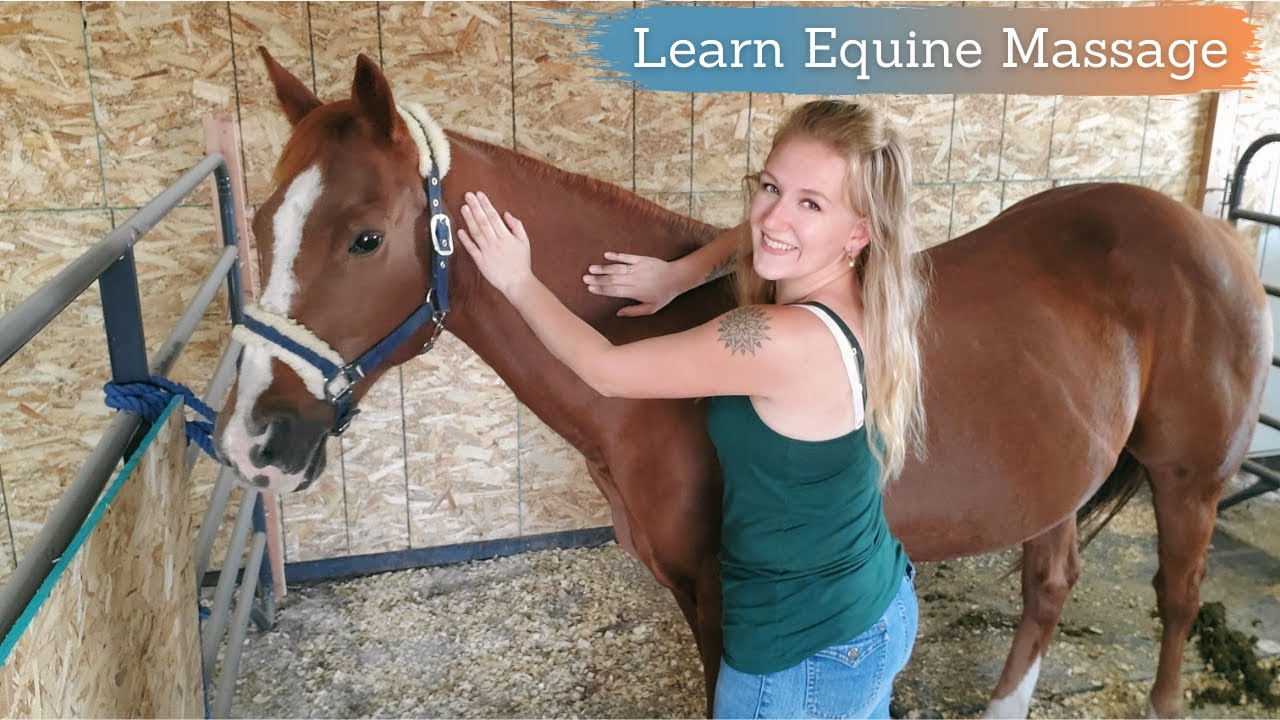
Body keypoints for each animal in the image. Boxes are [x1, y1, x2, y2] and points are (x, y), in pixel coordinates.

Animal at [213, 48, 1272, 719]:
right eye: (260, 224)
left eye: (364, 237)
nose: (254, 441)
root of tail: (1213, 231)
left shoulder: (722, 596)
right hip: (1054, 476)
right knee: (1050, 584)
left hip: (1190, 483)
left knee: (1178, 597)